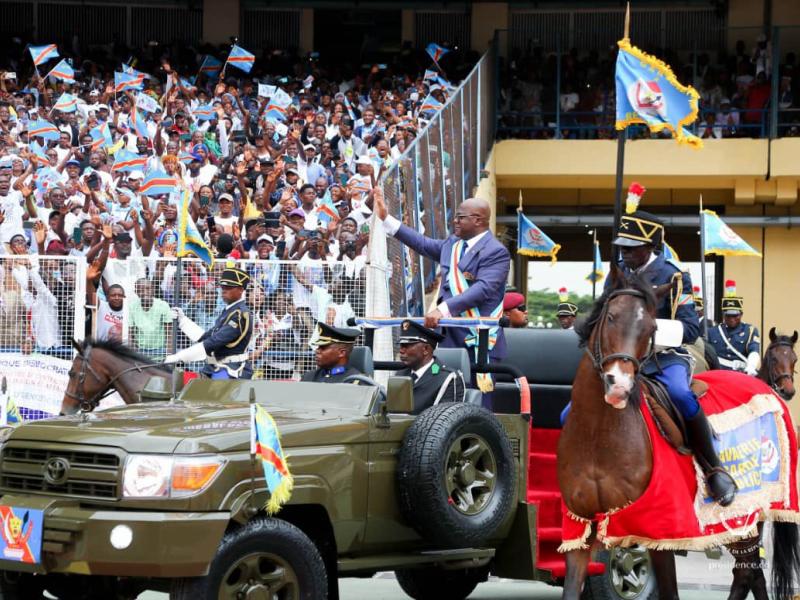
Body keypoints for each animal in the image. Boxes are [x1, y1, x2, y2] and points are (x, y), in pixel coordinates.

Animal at [556, 270, 800, 600]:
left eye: (651, 328)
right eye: (611, 317)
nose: (619, 384)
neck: (599, 436)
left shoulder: (659, 532)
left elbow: (670, 591)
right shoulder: (580, 529)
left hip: (747, 516)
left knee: (750, 572)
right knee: (747, 574)